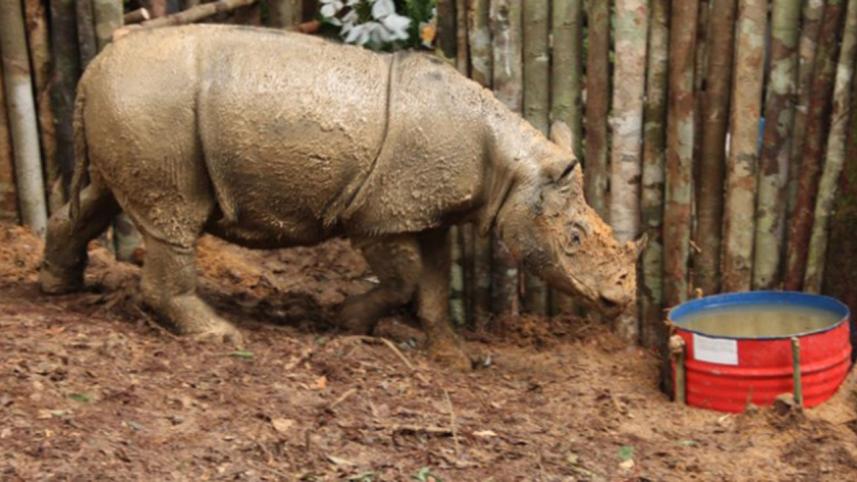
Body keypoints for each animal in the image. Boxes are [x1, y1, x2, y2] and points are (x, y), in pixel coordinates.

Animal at [39, 25, 642, 369]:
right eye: (574, 237)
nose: (623, 300)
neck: (515, 168)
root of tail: (92, 69)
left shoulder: (427, 211)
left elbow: (432, 282)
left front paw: (452, 357)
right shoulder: (377, 215)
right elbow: (404, 279)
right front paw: (349, 323)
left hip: (133, 107)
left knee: (97, 200)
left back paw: (57, 286)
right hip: (153, 106)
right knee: (172, 219)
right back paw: (220, 334)